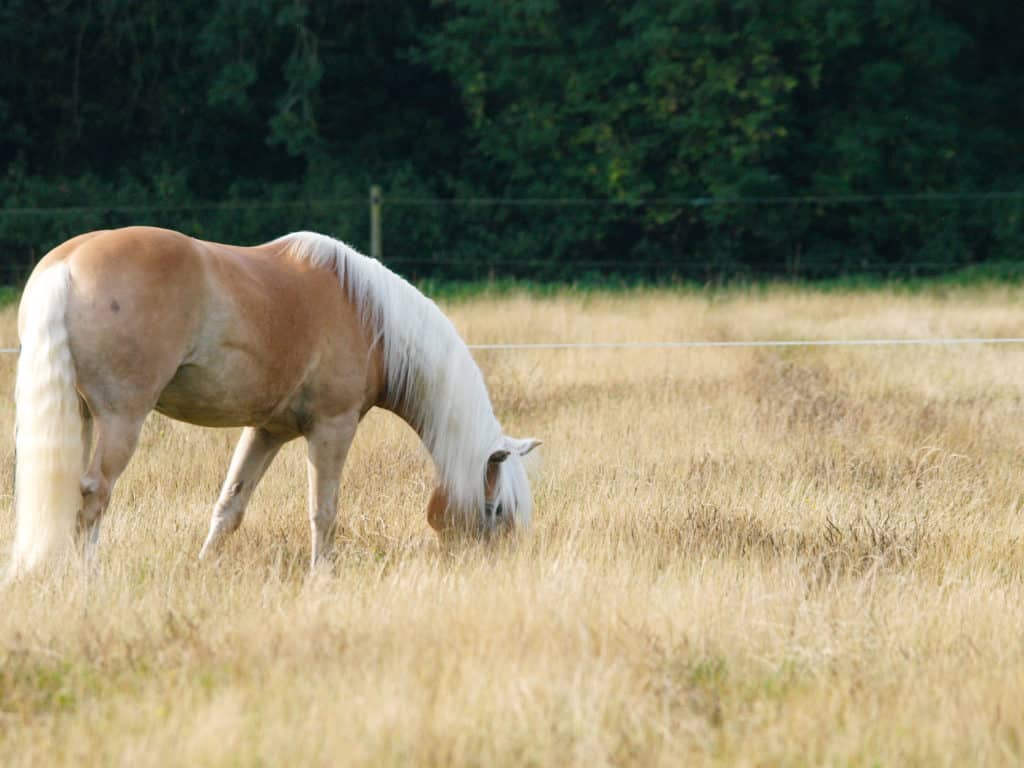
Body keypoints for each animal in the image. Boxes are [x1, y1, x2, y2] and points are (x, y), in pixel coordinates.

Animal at [9, 226, 540, 576]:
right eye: (495, 510)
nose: (495, 572)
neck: (371, 317)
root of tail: (67, 265)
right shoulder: (332, 428)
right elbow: (323, 510)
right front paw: (322, 579)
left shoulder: (267, 431)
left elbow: (230, 506)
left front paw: (203, 569)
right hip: (121, 421)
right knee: (94, 494)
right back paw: (86, 580)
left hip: (79, 419)